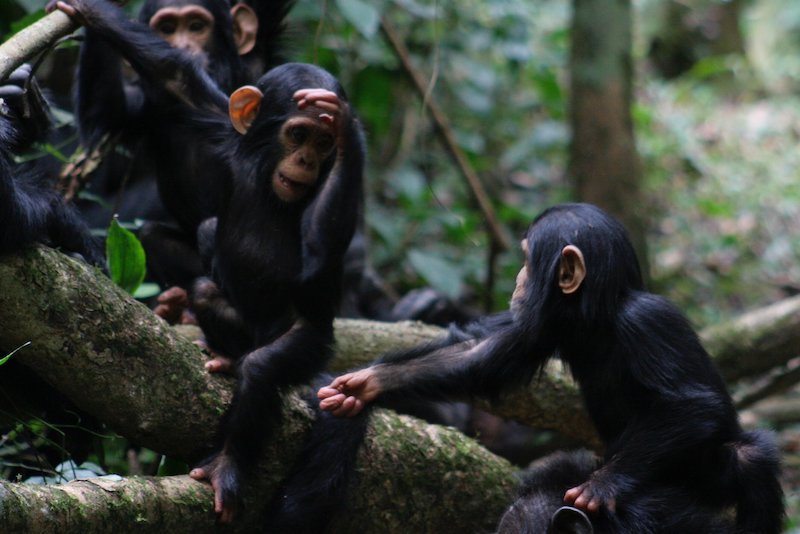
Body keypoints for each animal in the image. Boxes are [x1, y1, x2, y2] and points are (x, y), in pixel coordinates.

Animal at [318, 203, 780, 532]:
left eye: (527, 258)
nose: (519, 280)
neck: (599, 316)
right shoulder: (543, 325)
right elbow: (480, 358)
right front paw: (367, 383)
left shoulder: (649, 321)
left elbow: (691, 404)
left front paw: (601, 485)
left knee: (750, 458)